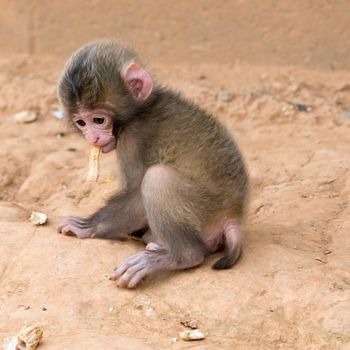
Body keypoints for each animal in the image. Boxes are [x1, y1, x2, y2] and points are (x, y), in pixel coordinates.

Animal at [56, 40, 249, 288]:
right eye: (81, 122)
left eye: (98, 120)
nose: (94, 138)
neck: (141, 110)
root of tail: (234, 213)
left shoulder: (133, 137)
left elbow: (136, 195)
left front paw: (87, 226)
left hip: (208, 206)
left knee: (158, 178)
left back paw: (179, 256)